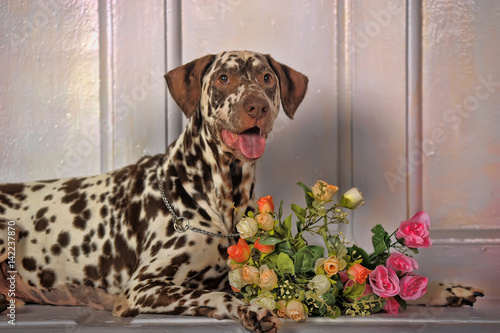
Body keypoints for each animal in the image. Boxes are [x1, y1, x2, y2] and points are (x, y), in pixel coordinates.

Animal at [0, 50, 484, 330]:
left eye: (267, 78)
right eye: (223, 79)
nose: (256, 106)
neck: (222, 199)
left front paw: (439, 289)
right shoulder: (144, 286)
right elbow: (215, 293)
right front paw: (253, 310)